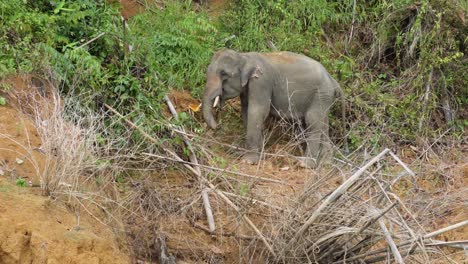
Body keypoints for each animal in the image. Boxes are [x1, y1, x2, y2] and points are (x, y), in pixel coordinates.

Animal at [201, 48, 344, 168]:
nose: (217, 126)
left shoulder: (262, 82)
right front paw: (260, 152)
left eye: (223, 73)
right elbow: (246, 112)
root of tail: (333, 81)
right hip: (324, 98)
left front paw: (248, 161)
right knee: (323, 124)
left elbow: (257, 111)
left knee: (313, 123)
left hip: (320, 95)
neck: (244, 56)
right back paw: (326, 163)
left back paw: (305, 164)